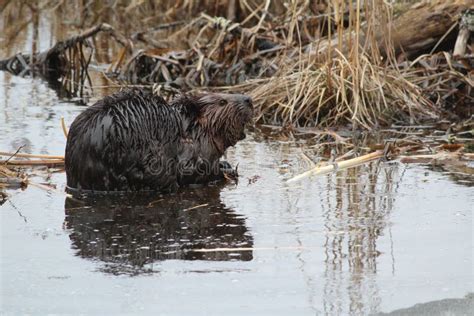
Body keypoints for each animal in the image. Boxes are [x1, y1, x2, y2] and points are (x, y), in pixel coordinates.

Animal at [65, 89, 254, 193]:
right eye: (222, 101)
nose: (249, 99)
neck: (189, 130)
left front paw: (226, 165)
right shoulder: (189, 152)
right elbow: (193, 170)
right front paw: (227, 172)